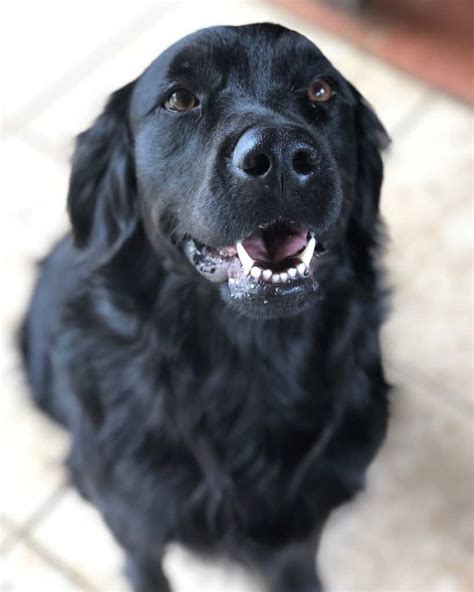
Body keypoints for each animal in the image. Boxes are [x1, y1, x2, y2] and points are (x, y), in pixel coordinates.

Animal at [21, 23, 388, 592]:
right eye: (179, 99)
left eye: (321, 91)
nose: (281, 157)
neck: (245, 360)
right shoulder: (134, 516)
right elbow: (144, 564)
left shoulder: (303, 522)